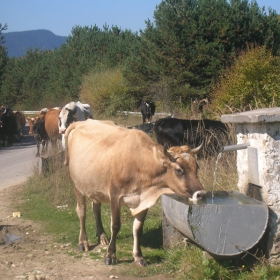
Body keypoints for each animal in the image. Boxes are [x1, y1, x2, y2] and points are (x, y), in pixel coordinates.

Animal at [64, 118, 206, 266]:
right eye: (179, 170)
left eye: (197, 167)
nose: (201, 194)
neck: (139, 162)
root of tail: (80, 122)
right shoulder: (115, 196)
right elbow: (115, 225)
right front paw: (110, 255)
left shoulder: (143, 200)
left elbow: (137, 229)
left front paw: (138, 256)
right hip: (78, 185)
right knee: (82, 212)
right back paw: (83, 242)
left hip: (95, 188)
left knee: (96, 209)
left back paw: (102, 237)